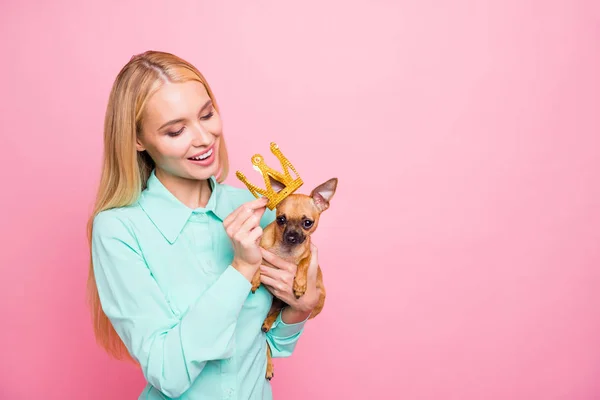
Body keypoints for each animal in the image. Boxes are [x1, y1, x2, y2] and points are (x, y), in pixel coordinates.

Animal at [250, 178, 338, 382]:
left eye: (307, 223)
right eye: (281, 219)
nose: (291, 236)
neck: (285, 253)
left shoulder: (309, 255)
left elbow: (304, 262)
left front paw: (299, 284)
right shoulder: (261, 248)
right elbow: (258, 257)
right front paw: (255, 277)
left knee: (276, 315)